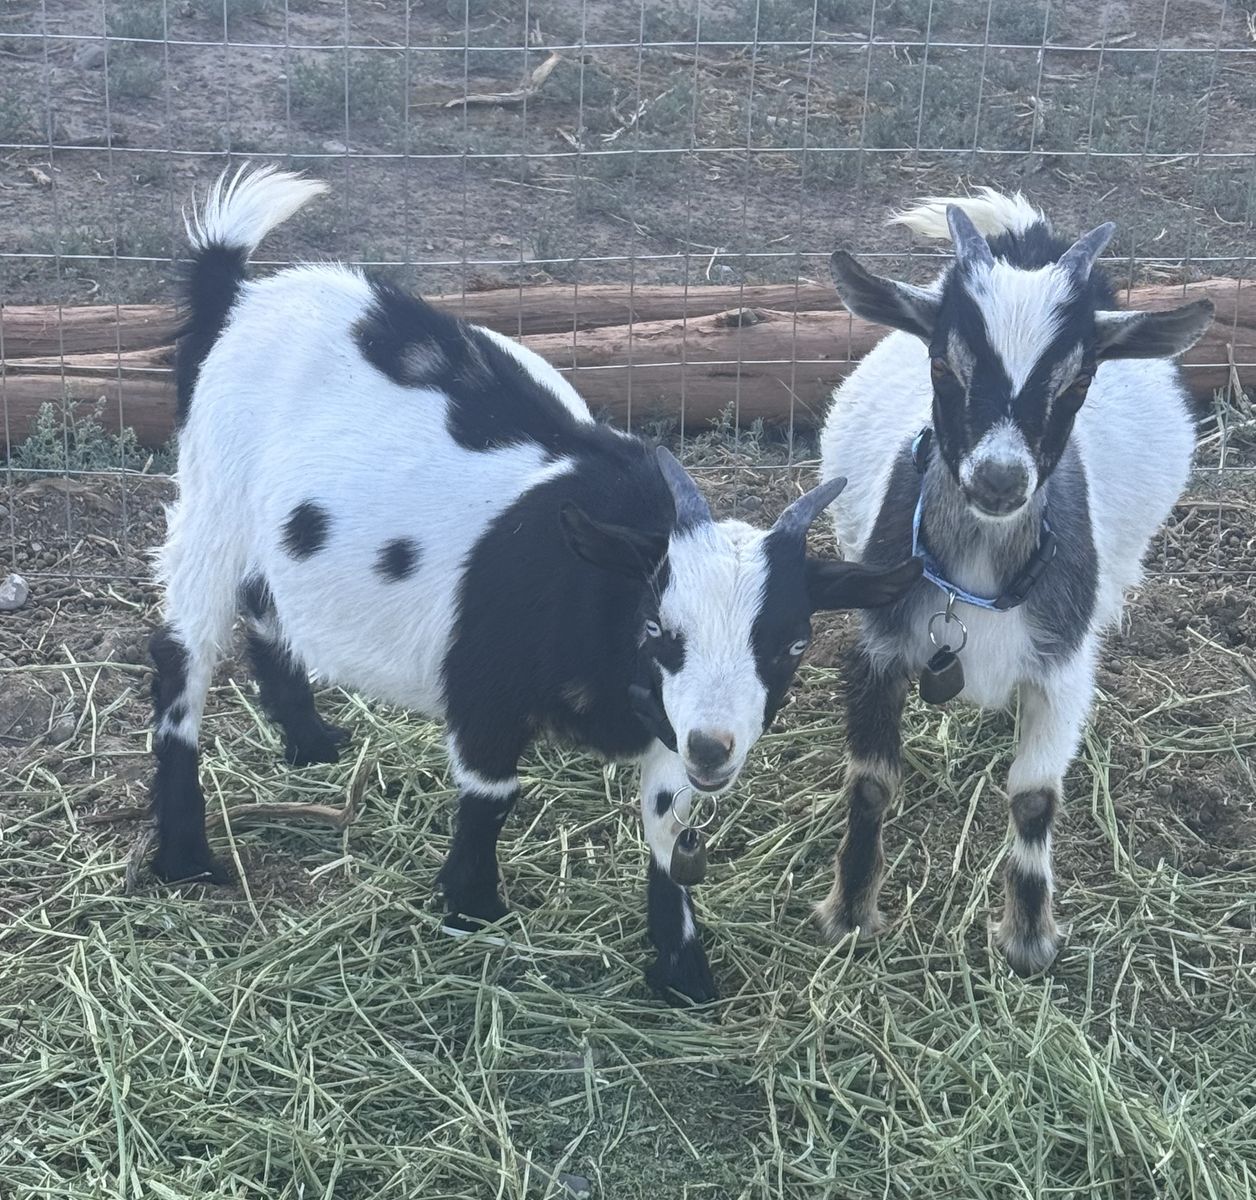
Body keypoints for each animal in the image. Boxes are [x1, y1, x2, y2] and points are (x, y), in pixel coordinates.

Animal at [148, 165, 921, 1004]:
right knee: (180, 654)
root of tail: (240, 294)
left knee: (264, 605)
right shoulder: (486, 689)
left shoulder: (669, 728)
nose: (715, 748)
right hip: (210, 502)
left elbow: (666, 824)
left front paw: (682, 972)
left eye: (793, 643)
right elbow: (492, 797)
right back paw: (184, 856)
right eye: (661, 631)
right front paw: (472, 906)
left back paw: (310, 741)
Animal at [816, 188, 1213, 975]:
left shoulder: (1061, 667)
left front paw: (1030, 939)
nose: (1000, 479)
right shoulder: (879, 647)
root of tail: (1032, 246)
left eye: (1080, 380)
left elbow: (1033, 797)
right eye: (941, 363)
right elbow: (870, 783)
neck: (977, 575)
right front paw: (849, 912)